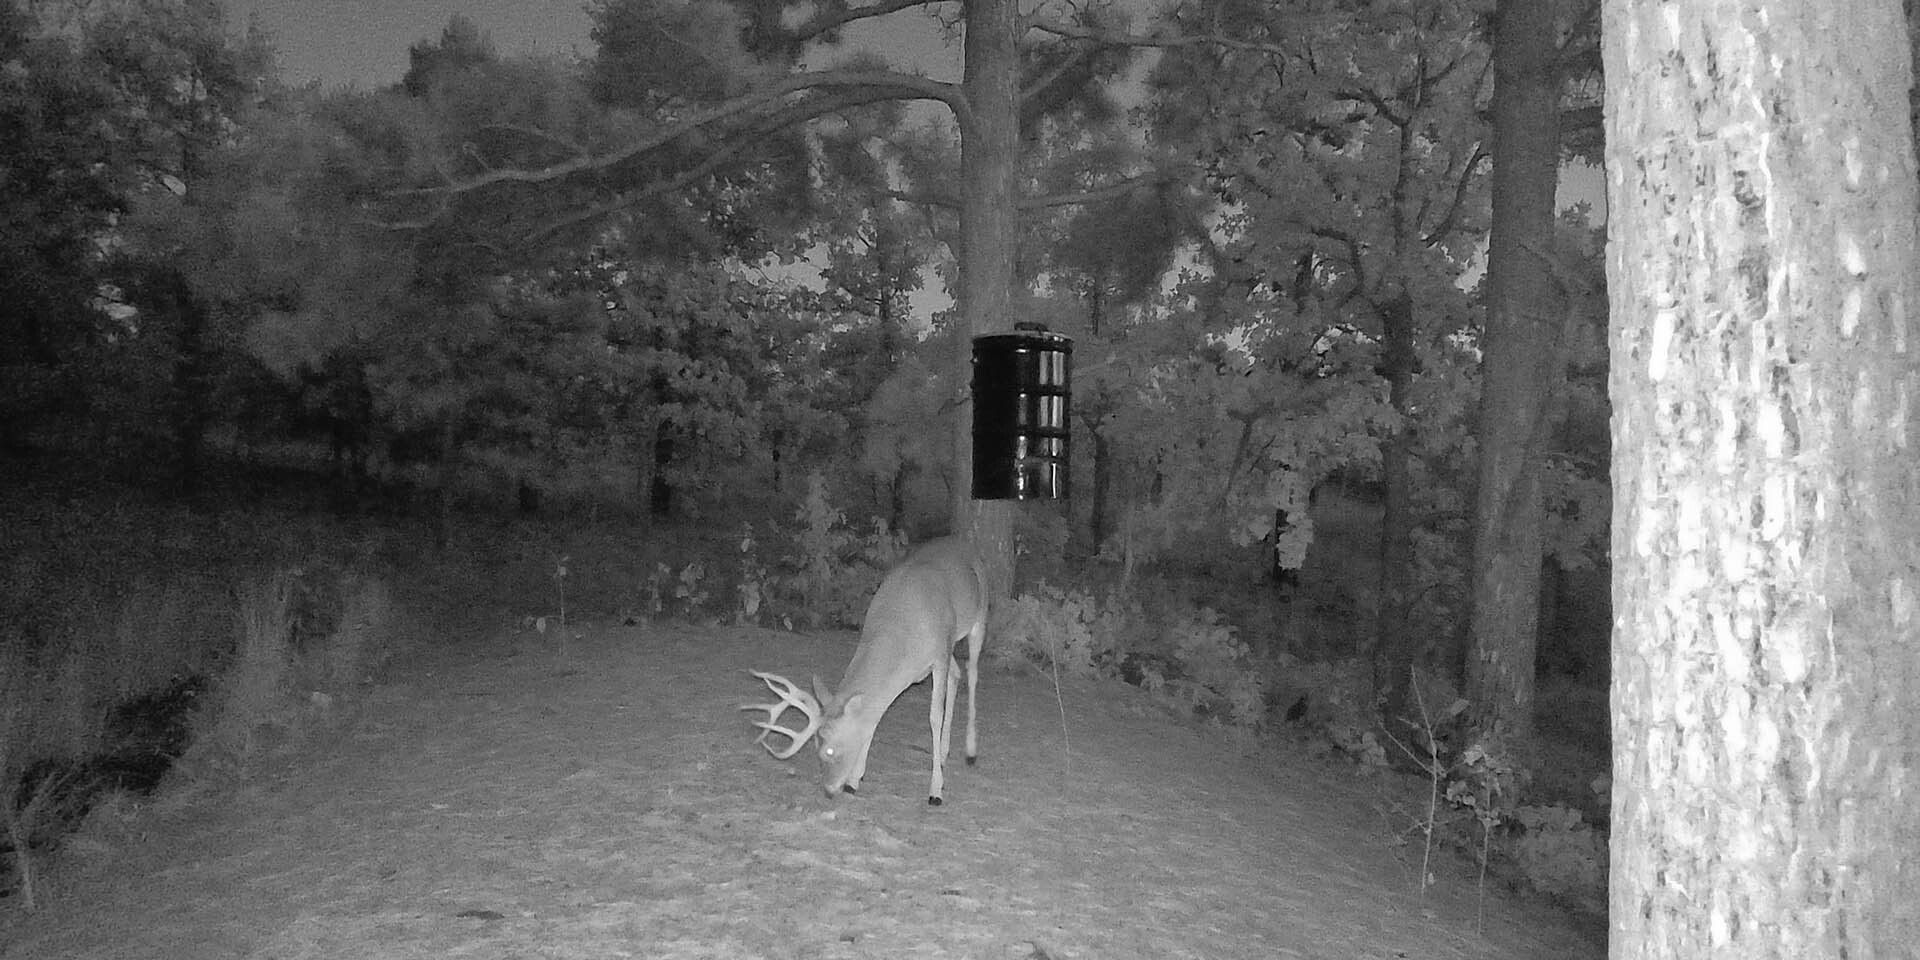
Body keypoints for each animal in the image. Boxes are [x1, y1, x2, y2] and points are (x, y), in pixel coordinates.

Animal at [742, 536, 988, 805]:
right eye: (817, 743)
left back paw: (970, 751)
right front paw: (854, 780)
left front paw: (935, 790)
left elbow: (934, 716)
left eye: (829, 750)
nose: (829, 788)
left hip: (978, 617)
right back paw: (943, 754)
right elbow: (874, 717)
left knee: (972, 672)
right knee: (957, 674)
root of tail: (964, 542)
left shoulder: (939, 654)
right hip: (951, 645)